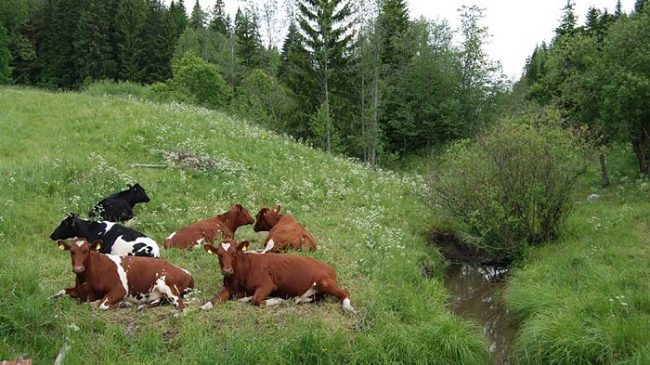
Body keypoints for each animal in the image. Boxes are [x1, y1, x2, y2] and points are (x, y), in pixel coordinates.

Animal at [52, 237, 194, 312]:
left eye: (86, 251)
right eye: (72, 251)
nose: (78, 268)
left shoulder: (119, 290)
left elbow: (102, 304)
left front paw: (123, 304)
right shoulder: (79, 291)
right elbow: (62, 291)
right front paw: (51, 298)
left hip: (168, 286)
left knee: (180, 305)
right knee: (157, 301)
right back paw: (142, 306)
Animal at [201, 239, 356, 312]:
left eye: (234, 253)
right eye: (219, 255)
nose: (227, 270)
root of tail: (329, 266)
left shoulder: (268, 284)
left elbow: (256, 301)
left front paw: (277, 300)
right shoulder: (228, 287)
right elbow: (214, 300)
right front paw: (204, 306)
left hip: (324, 282)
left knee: (345, 293)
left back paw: (348, 308)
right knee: (315, 297)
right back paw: (299, 299)